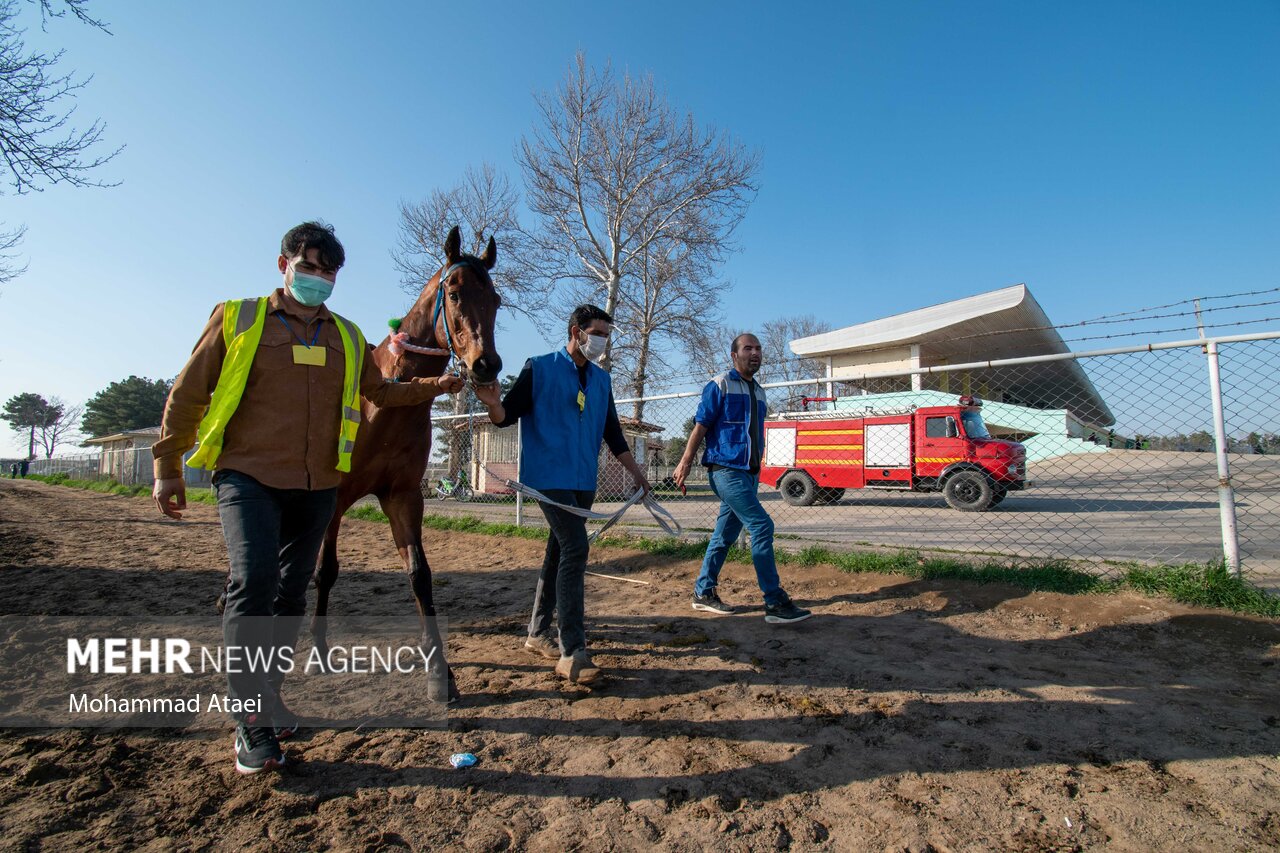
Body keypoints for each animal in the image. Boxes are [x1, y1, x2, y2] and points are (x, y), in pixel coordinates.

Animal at [312, 224, 501, 696]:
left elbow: (419, 573)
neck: (387, 401)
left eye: (496, 300)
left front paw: (440, 672)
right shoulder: (333, 499)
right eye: (454, 292)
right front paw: (319, 649)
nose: (486, 365)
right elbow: (325, 569)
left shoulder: (402, 496)